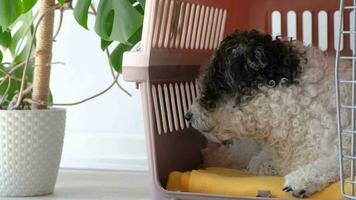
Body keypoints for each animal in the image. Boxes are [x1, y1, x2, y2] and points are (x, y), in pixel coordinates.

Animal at [185, 29, 352, 197]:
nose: (187, 115)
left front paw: (301, 180)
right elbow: (257, 163)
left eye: (215, 86)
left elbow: (339, 162)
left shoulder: (346, 146)